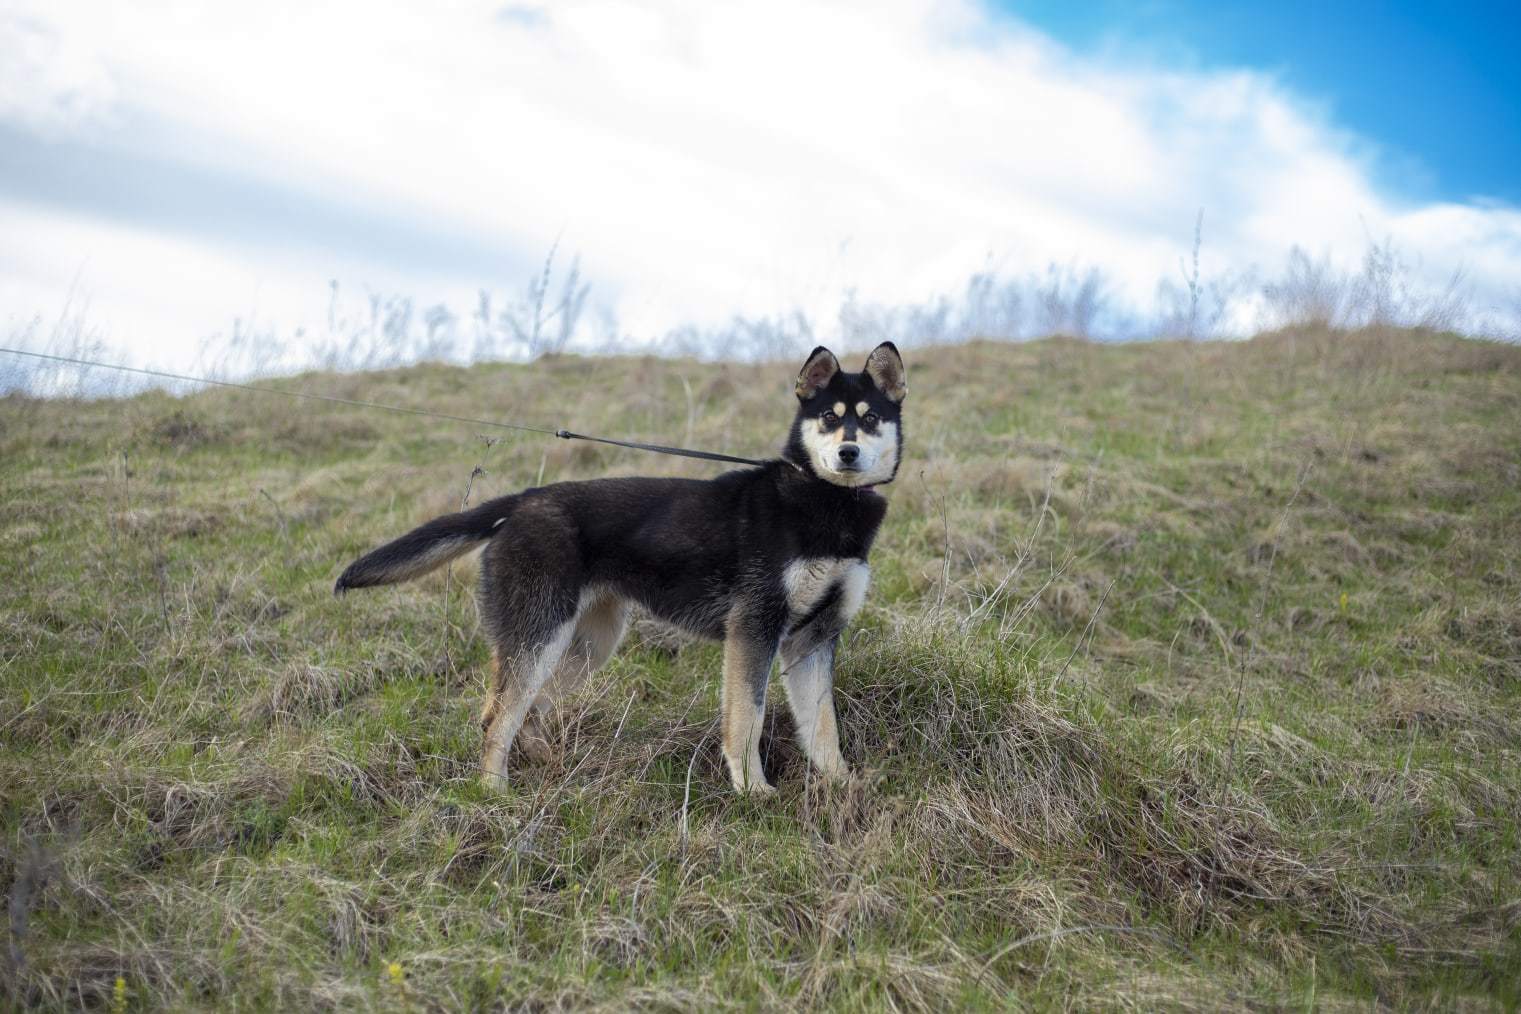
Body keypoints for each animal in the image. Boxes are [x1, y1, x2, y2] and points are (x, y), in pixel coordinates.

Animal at [333, 340, 900, 790]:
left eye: (870, 418)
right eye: (830, 417)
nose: (848, 453)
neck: (824, 501)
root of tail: (520, 503)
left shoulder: (813, 639)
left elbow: (822, 726)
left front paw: (841, 784)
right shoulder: (754, 631)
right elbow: (747, 721)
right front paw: (754, 791)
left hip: (585, 644)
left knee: (528, 711)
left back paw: (546, 764)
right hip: (540, 637)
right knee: (496, 718)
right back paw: (494, 796)